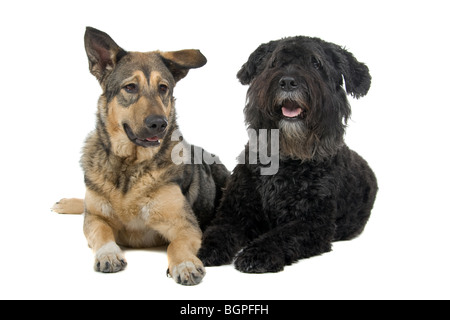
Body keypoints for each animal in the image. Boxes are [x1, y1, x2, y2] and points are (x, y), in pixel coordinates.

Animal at [52, 27, 229, 284]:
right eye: (130, 87)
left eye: (163, 88)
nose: (159, 124)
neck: (130, 165)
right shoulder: (95, 219)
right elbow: (102, 232)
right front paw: (108, 254)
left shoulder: (185, 226)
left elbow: (175, 246)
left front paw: (184, 264)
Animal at [199, 37, 378, 272]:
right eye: (274, 63)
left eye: (316, 63)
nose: (287, 82)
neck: (285, 159)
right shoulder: (234, 211)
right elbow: (219, 230)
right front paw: (204, 251)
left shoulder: (312, 223)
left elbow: (282, 236)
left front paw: (258, 253)